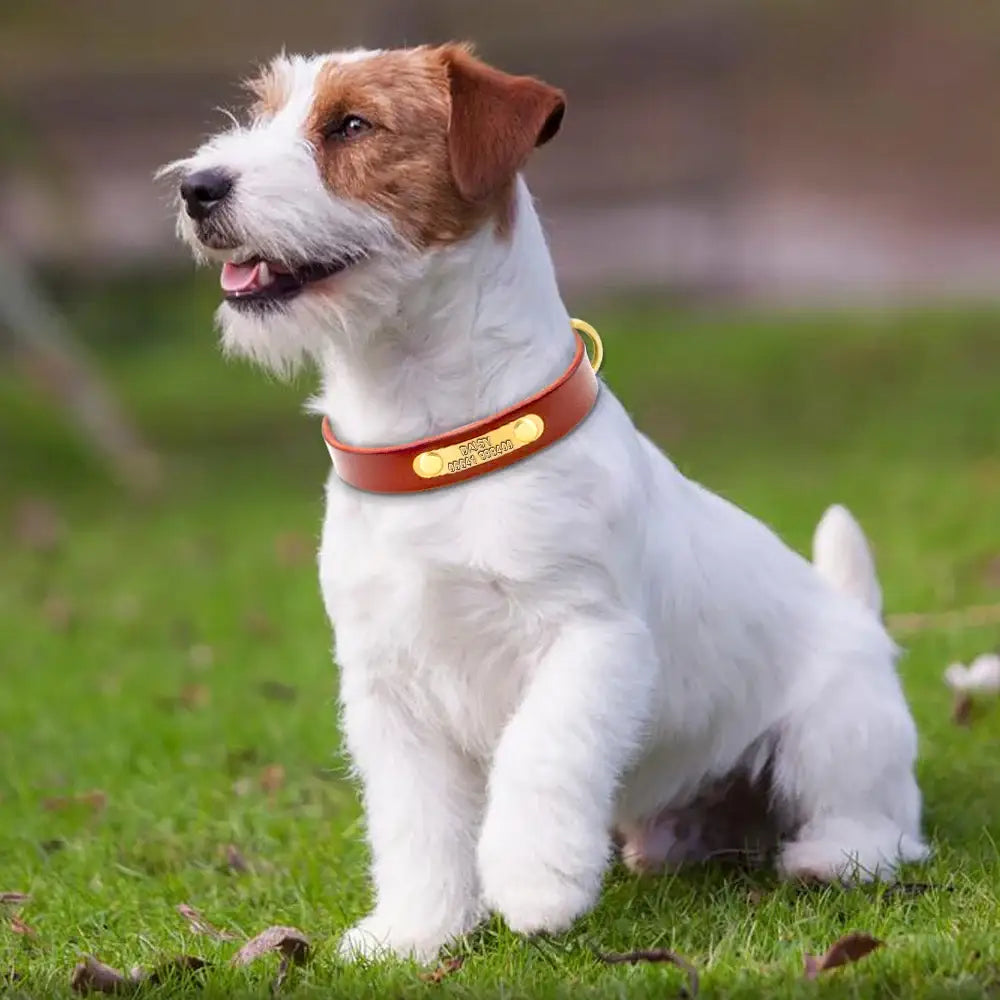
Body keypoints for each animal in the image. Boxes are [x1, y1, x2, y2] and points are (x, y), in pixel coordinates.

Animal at [166, 43, 928, 964]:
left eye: (350, 124)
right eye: (263, 111)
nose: (198, 186)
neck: (439, 446)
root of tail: (858, 615)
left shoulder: (590, 639)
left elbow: (539, 750)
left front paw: (534, 883)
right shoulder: (388, 685)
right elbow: (414, 821)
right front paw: (417, 930)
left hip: (838, 731)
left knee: (882, 823)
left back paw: (830, 856)